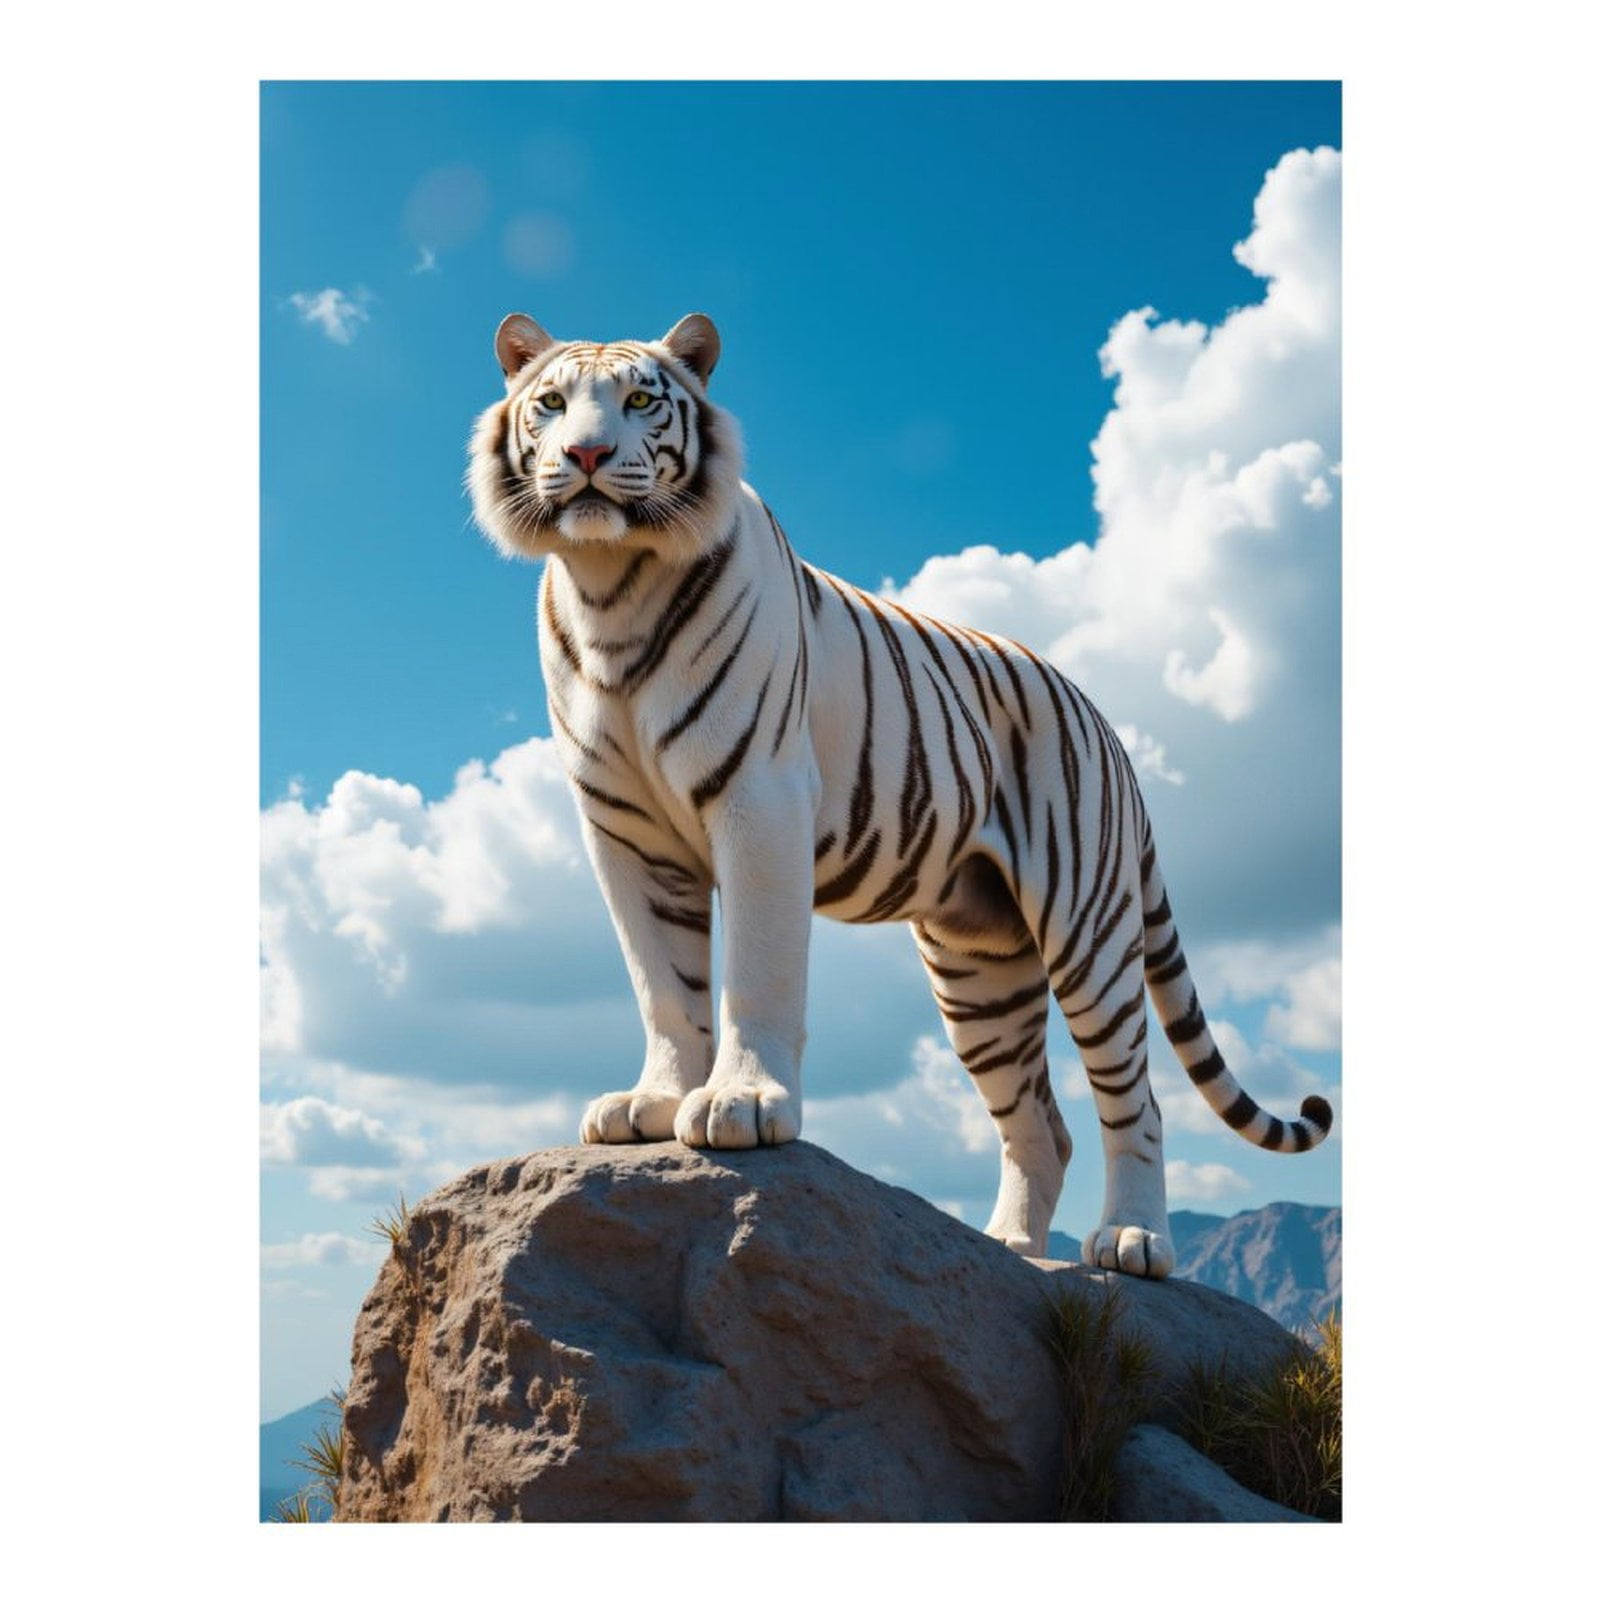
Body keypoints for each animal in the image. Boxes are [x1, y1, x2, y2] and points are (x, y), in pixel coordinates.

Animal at [467, 310, 1332, 1279]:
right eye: (550, 404)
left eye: (642, 401)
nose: (584, 453)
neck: (609, 579)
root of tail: (1109, 729)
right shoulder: (624, 832)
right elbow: (664, 983)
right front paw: (651, 1103)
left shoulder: (758, 797)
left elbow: (756, 973)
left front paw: (744, 1104)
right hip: (979, 970)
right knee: (1042, 1125)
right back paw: (1010, 1251)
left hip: (1089, 930)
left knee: (1131, 1101)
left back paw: (1131, 1242)